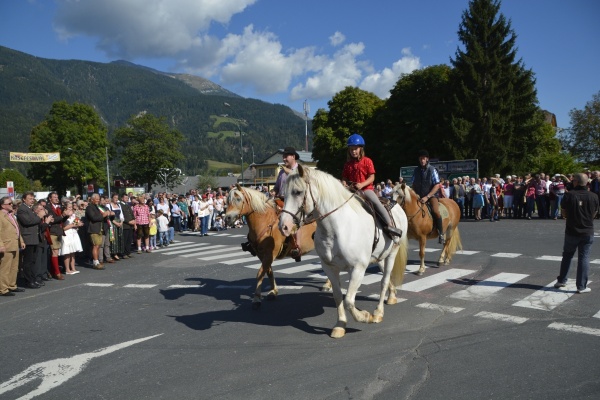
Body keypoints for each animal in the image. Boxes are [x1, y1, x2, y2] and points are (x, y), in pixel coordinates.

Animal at [278, 165, 410, 338]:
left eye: (298, 192)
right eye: (283, 194)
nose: (284, 226)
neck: (336, 228)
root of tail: (397, 206)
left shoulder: (358, 268)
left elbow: (348, 300)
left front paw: (365, 316)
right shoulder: (329, 267)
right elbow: (338, 296)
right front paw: (340, 325)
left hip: (392, 254)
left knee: (384, 281)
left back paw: (378, 312)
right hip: (380, 256)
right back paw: (391, 297)